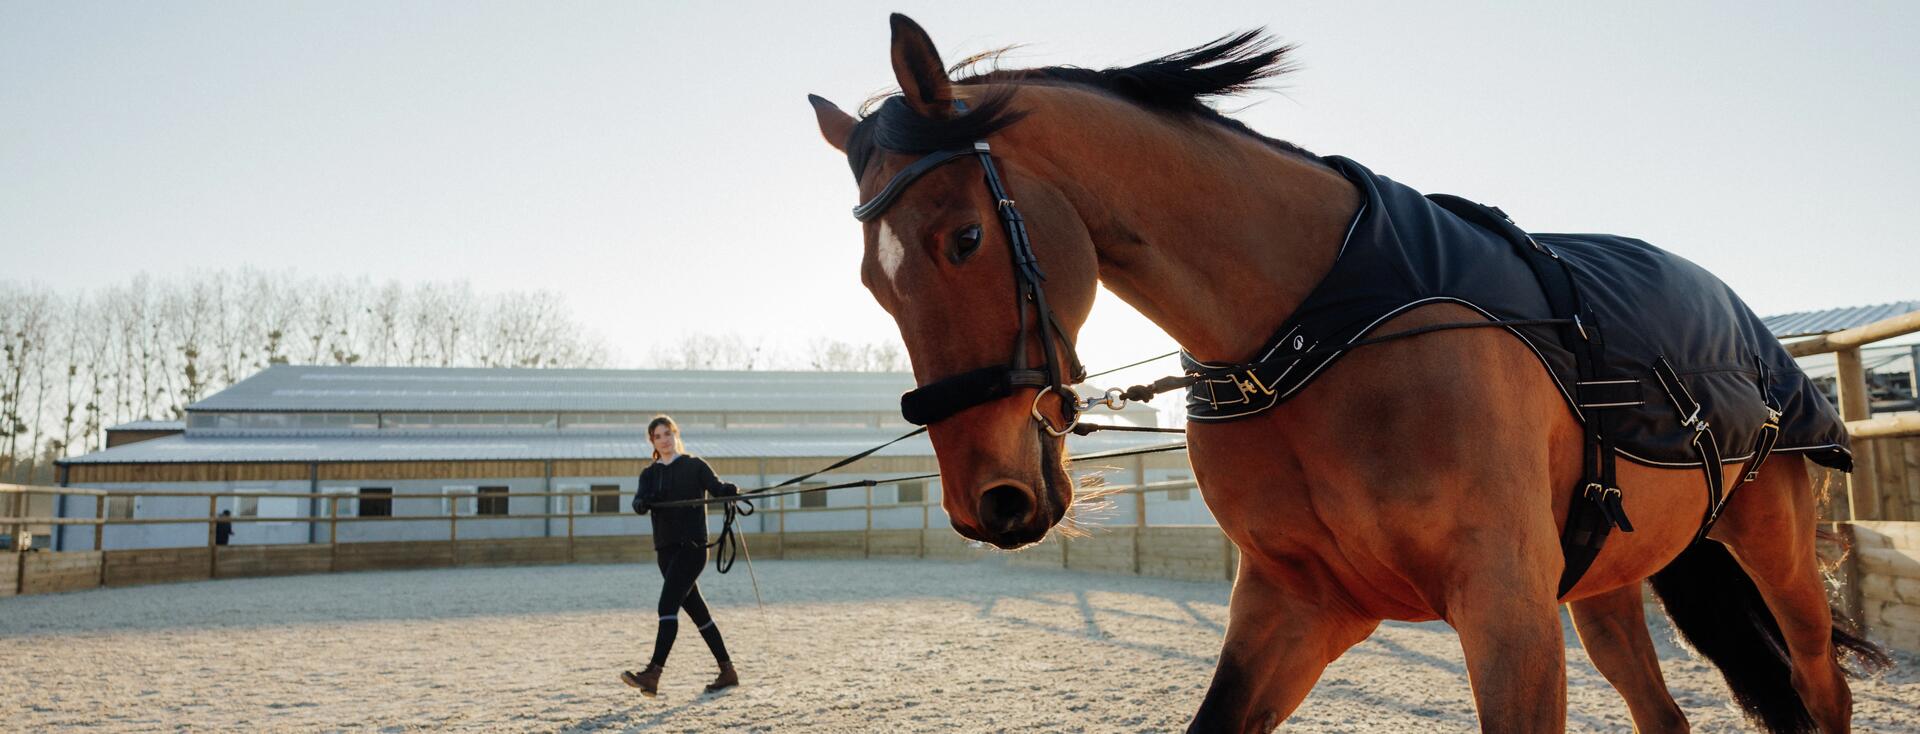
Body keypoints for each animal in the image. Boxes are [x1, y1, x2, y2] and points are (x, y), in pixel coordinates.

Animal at [809, 15, 1886, 732]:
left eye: (964, 238)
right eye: (871, 280)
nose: (988, 497)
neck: (1322, 327)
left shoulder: (1506, 614)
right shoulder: (1298, 606)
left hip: (1774, 537)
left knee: (1820, 683)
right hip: (1606, 584)